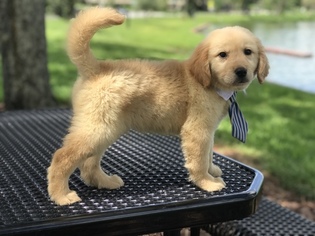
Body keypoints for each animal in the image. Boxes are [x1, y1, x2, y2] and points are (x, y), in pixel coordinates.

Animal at [47, 7, 270, 206]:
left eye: (248, 52)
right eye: (223, 55)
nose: (241, 71)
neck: (205, 81)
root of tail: (96, 68)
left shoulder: (208, 130)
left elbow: (208, 153)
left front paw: (212, 170)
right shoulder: (197, 131)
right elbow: (199, 159)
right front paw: (207, 182)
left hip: (105, 129)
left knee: (89, 164)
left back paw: (104, 181)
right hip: (97, 129)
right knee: (61, 157)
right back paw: (61, 195)